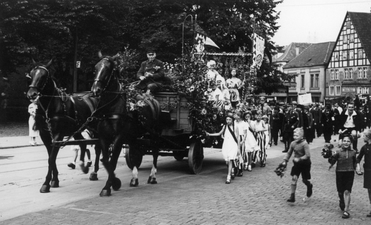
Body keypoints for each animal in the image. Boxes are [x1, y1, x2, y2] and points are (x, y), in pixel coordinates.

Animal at [26, 59, 102, 192]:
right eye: (31, 74)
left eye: (44, 76)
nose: (32, 94)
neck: (49, 107)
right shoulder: (45, 135)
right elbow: (50, 158)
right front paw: (54, 180)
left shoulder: (58, 135)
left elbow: (51, 158)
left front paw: (46, 184)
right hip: (77, 130)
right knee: (83, 143)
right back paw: (83, 165)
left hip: (95, 128)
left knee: (97, 147)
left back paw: (94, 172)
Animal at [91, 51, 161, 196]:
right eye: (95, 68)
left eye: (108, 69)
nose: (95, 90)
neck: (111, 108)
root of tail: (152, 99)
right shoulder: (103, 138)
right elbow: (106, 161)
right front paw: (114, 182)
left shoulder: (119, 138)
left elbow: (112, 162)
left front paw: (109, 186)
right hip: (134, 135)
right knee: (135, 151)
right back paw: (134, 178)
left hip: (154, 133)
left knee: (155, 151)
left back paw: (152, 176)